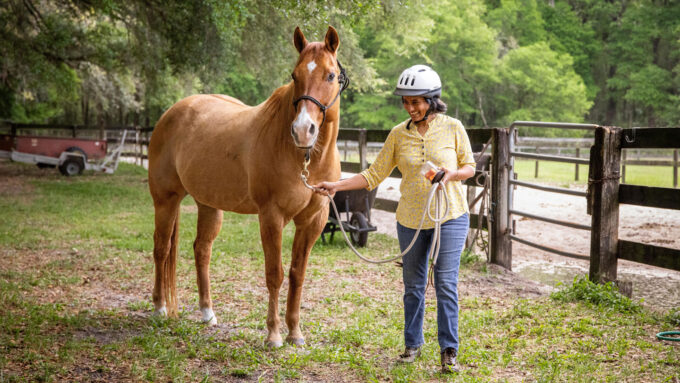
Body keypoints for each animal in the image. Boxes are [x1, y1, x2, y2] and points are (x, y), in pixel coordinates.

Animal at [149, 25, 348, 346]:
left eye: (330, 75)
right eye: (294, 75)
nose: (302, 131)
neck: (303, 157)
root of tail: (173, 112)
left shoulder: (312, 221)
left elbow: (297, 274)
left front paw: (295, 333)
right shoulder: (271, 217)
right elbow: (274, 274)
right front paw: (274, 335)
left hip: (209, 205)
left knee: (201, 250)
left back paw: (207, 313)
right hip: (165, 200)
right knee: (161, 249)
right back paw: (159, 308)